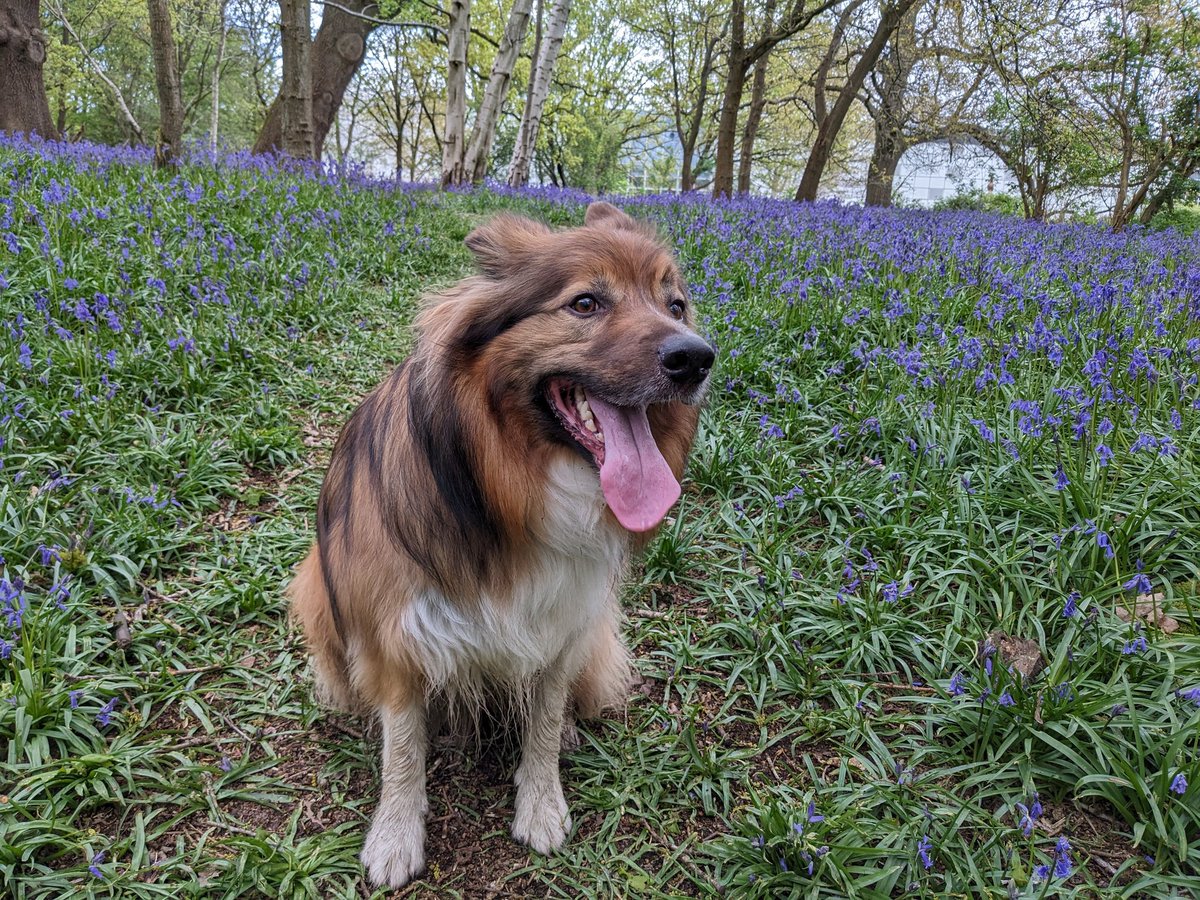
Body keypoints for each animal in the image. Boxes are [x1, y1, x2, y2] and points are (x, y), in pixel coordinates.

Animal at [289, 202, 710, 888]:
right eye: (586, 303)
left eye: (674, 305)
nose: (697, 358)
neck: (508, 479)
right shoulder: (395, 631)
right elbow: (402, 749)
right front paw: (395, 835)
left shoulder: (566, 620)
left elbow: (541, 720)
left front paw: (541, 802)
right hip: (317, 593)